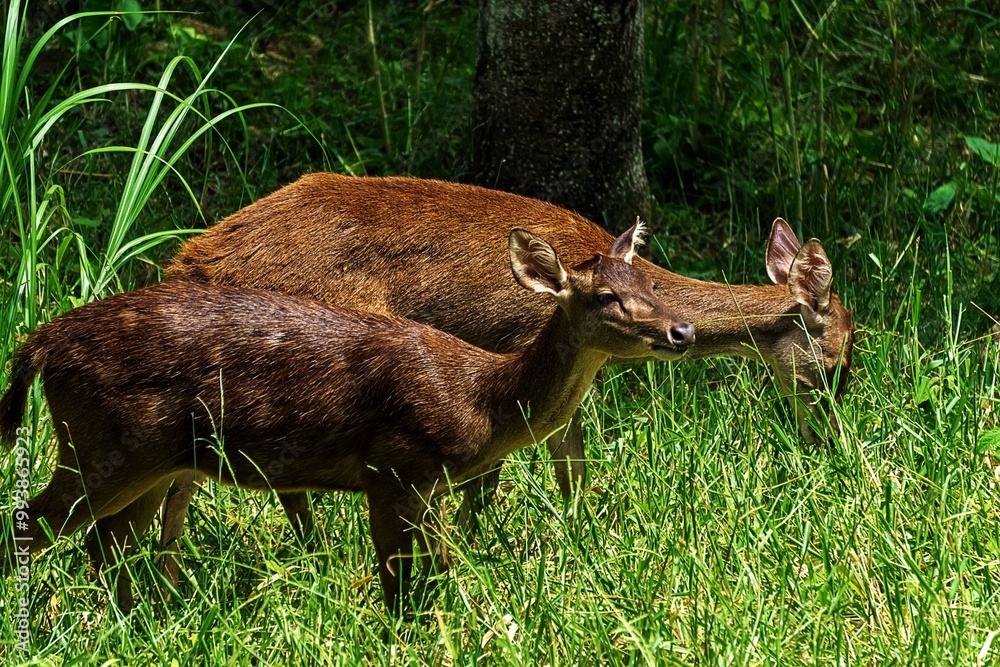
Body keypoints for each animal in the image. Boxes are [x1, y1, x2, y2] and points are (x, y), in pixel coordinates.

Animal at [0, 224, 695, 612]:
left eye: (651, 285)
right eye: (605, 296)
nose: (681, 330)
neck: (479, 400)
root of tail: (38, 344)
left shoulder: (427, 483)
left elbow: (434, 569)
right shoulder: (394, 464)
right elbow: (400, 576)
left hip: (146, 460)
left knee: (107, 545)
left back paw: (134, 624)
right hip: (104, 444)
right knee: (34, 526)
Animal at [159, 174, 855, 585]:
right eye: (841, 364)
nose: (832, 444)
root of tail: (192, 263)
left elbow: (571, 462)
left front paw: (581, 538)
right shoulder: (510, 350)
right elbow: (494, 473)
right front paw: (477, 547)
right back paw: (314, 555)